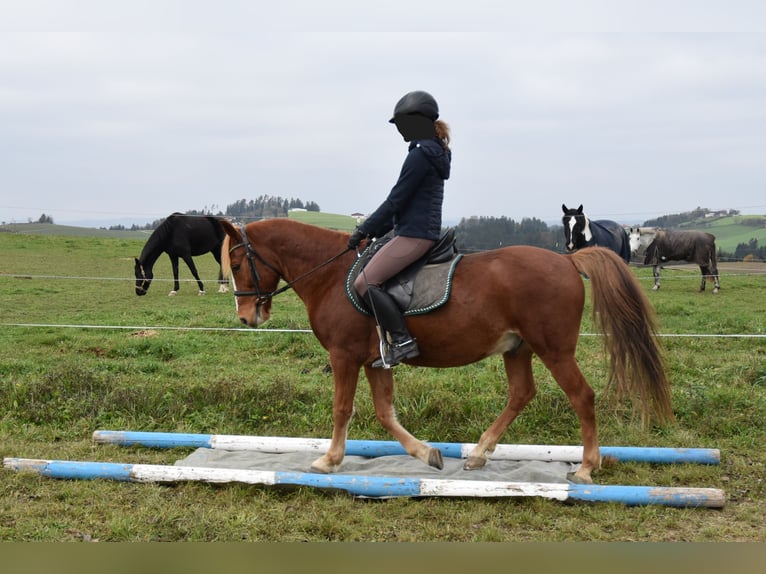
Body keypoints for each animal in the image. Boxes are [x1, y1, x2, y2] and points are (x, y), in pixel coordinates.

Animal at [220, 218, 672, 484]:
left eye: (238, 264)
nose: (245, 317)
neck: (330, 274)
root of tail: (567, 261)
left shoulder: (344, 356)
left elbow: (342, 409)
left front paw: (328, 461)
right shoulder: (376, 360)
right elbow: (385, 413)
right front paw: (428, 454)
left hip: (554, 350)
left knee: (582, 396)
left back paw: (586, 466)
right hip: (518, 349)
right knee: (522, 393)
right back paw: (478, 454)